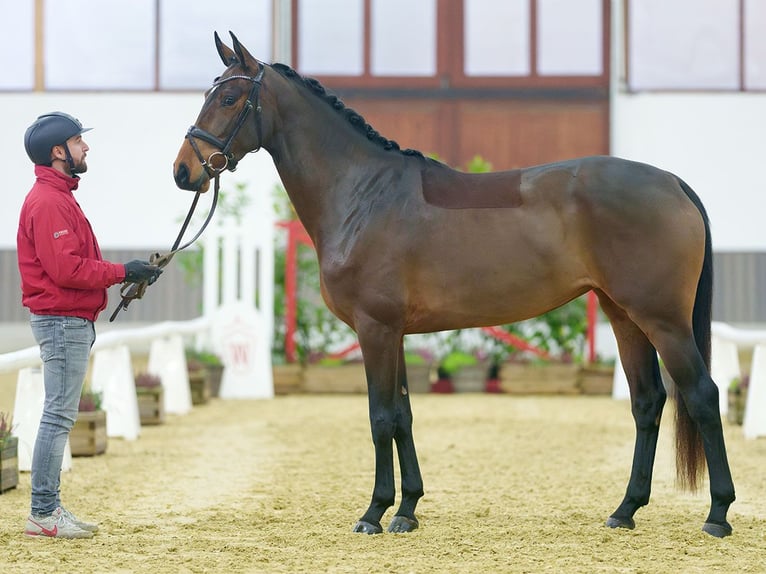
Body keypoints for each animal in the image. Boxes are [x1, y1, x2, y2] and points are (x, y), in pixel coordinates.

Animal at [174, 32, 736, 540]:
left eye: (228, 98)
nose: (183, 171)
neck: (362, 193)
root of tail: (671, 182)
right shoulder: (394, 333)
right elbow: (403, 414)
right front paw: (406, 511)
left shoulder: (374, 329)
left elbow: (380, 417)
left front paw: (373, 514)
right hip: (625, 315)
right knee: (648, 402)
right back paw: (625, 511)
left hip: (663, 320)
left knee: (703, 395)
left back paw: (717, 515)